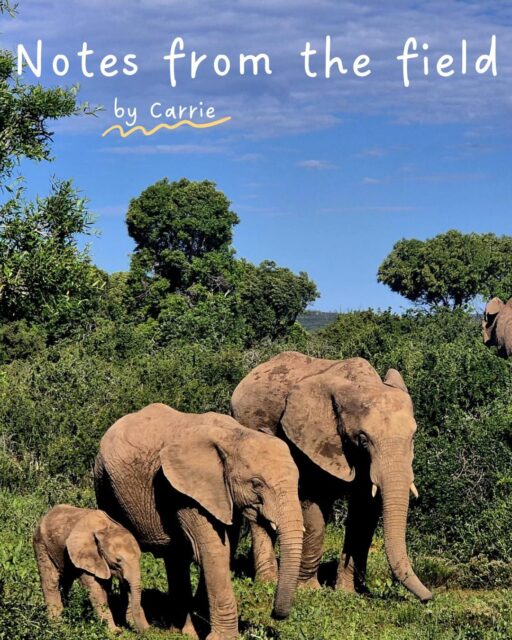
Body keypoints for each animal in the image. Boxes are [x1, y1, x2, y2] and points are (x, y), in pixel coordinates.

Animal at [94, 403, 303, 640]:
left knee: (175, 556)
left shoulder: (221, 493)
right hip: (104, 484)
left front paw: (202, 625)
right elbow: (214, 551)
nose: (274, 614)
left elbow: (223, 549)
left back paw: (182, 631)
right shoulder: (184, 491)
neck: (234, 435)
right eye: (256, 484)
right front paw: (221, 638)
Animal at [231, 351, 432, 603]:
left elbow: (365, 512)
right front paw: (309, 590)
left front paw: (348, 593)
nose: (428, 597)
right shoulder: (308, 444)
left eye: (413, 436)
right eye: (363, 439)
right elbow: (314, 504)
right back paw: (267, 582)